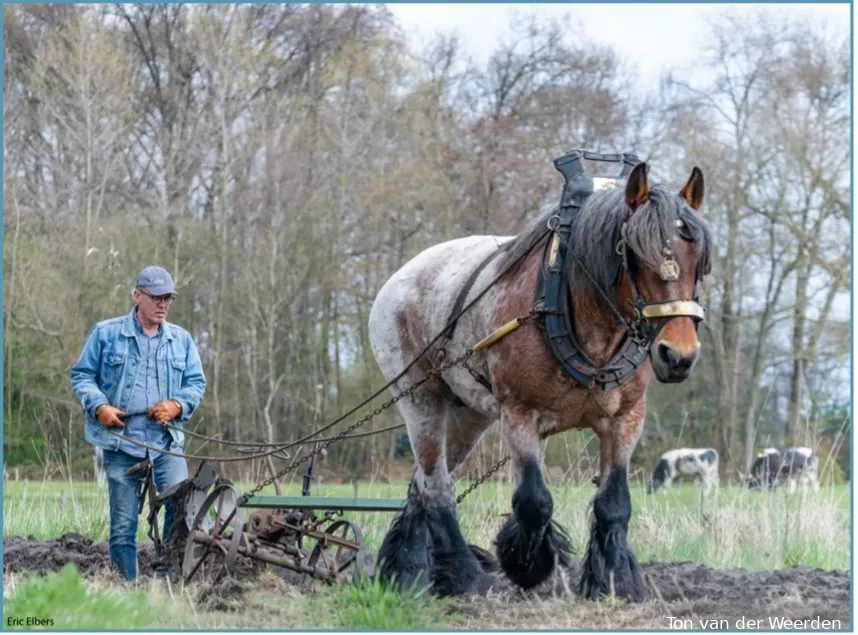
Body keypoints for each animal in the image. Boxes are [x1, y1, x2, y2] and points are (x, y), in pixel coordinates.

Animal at [372, 157, 712, 604]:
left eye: (699, 258)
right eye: (634, 253)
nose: (679, 356)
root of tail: (400, 278)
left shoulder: (626, 418)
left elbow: (614, 502)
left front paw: (615, 580)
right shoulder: (519, 413)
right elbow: (533, 502)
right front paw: (528, 565)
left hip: (468, 416)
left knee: (420, 485)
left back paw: (409, 573)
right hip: (420, 400)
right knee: (436, 486)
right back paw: (464, 577)